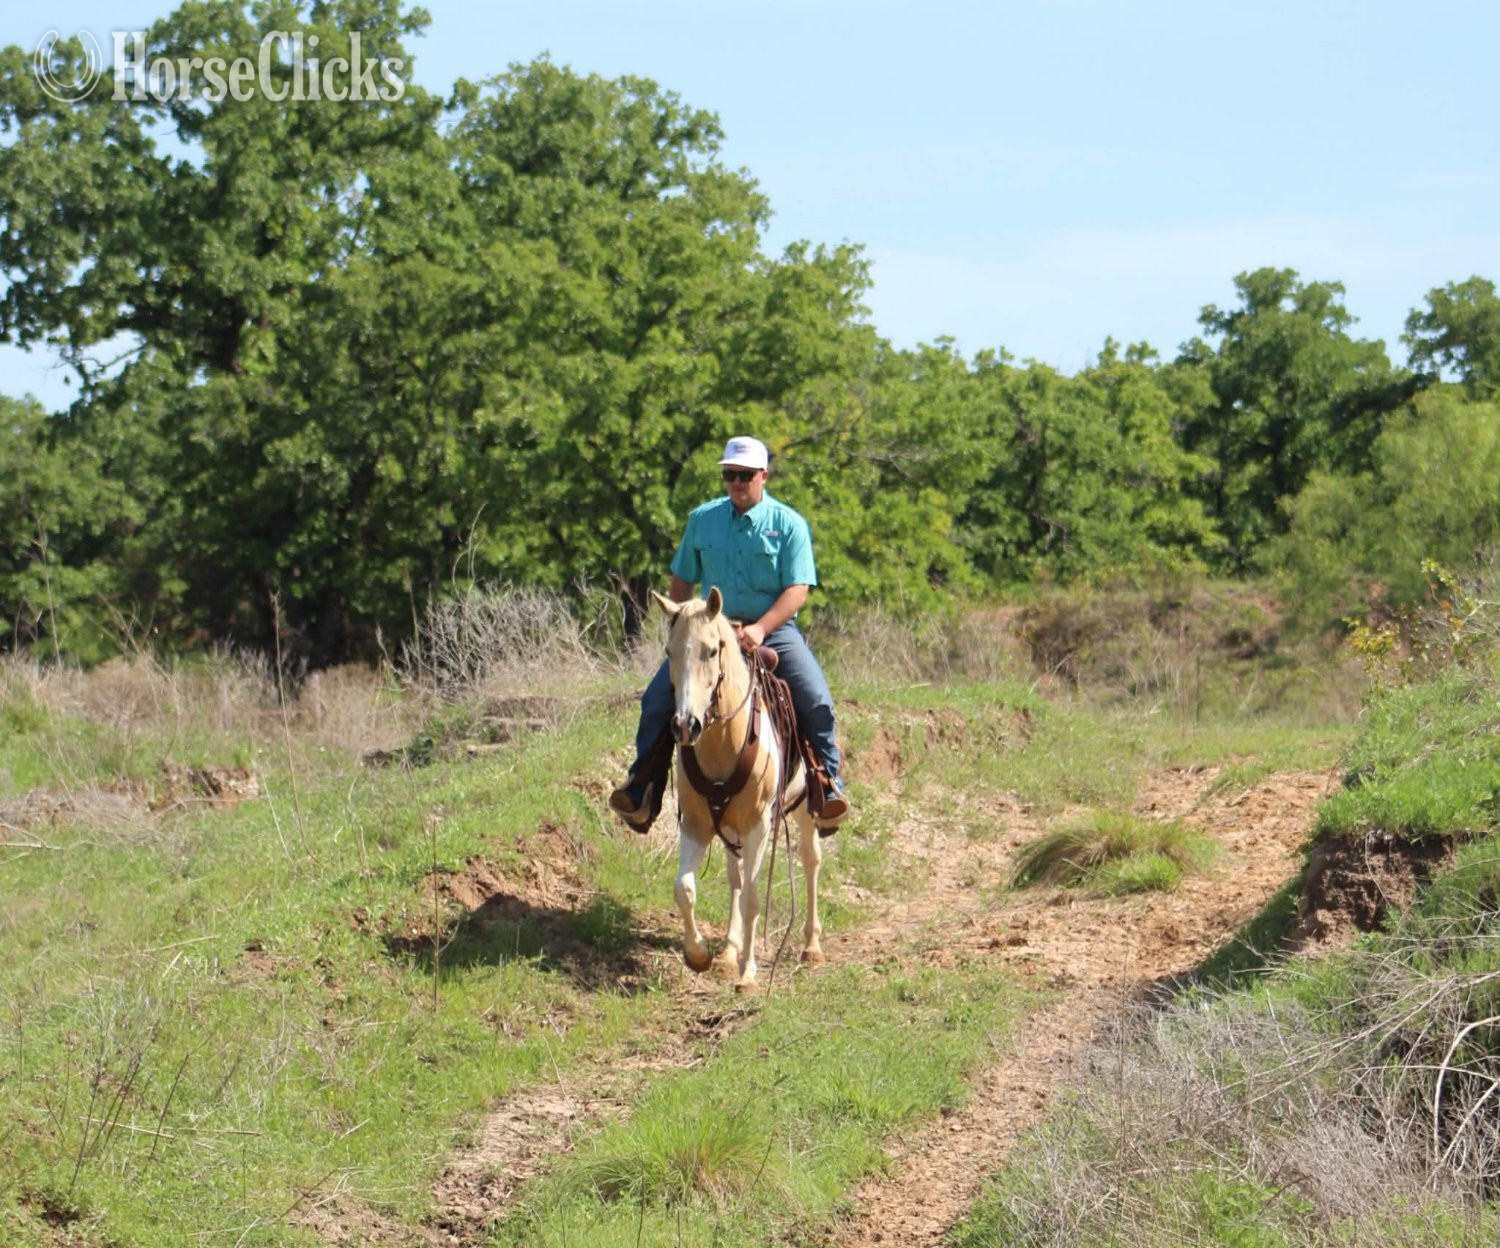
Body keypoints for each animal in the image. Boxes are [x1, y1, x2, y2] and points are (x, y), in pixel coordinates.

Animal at [650, 587, 824, 992]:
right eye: (669, 651)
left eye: (712, 650)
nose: (686, 725)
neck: (724, 742)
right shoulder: (696, 824)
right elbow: (685, 888)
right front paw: (699, 955)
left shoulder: (759, 826)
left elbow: (753, 900)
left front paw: (748, 974)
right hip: (729, 828)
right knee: (735, 876)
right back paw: (729, 952)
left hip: (805, 809)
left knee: (810, 861)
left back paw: (811, 945)